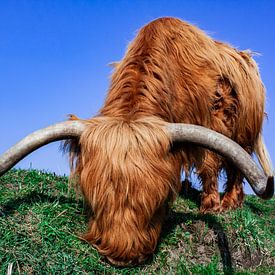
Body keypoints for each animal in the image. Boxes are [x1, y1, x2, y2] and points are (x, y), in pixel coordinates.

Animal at [0, 17, 274, 268]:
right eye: (94, 199)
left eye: (159, 203)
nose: (122, 257)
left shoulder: (211, 121)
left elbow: (209, 163)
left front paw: (210, 207)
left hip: (245, 132)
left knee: (236, 166)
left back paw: (229, 202)